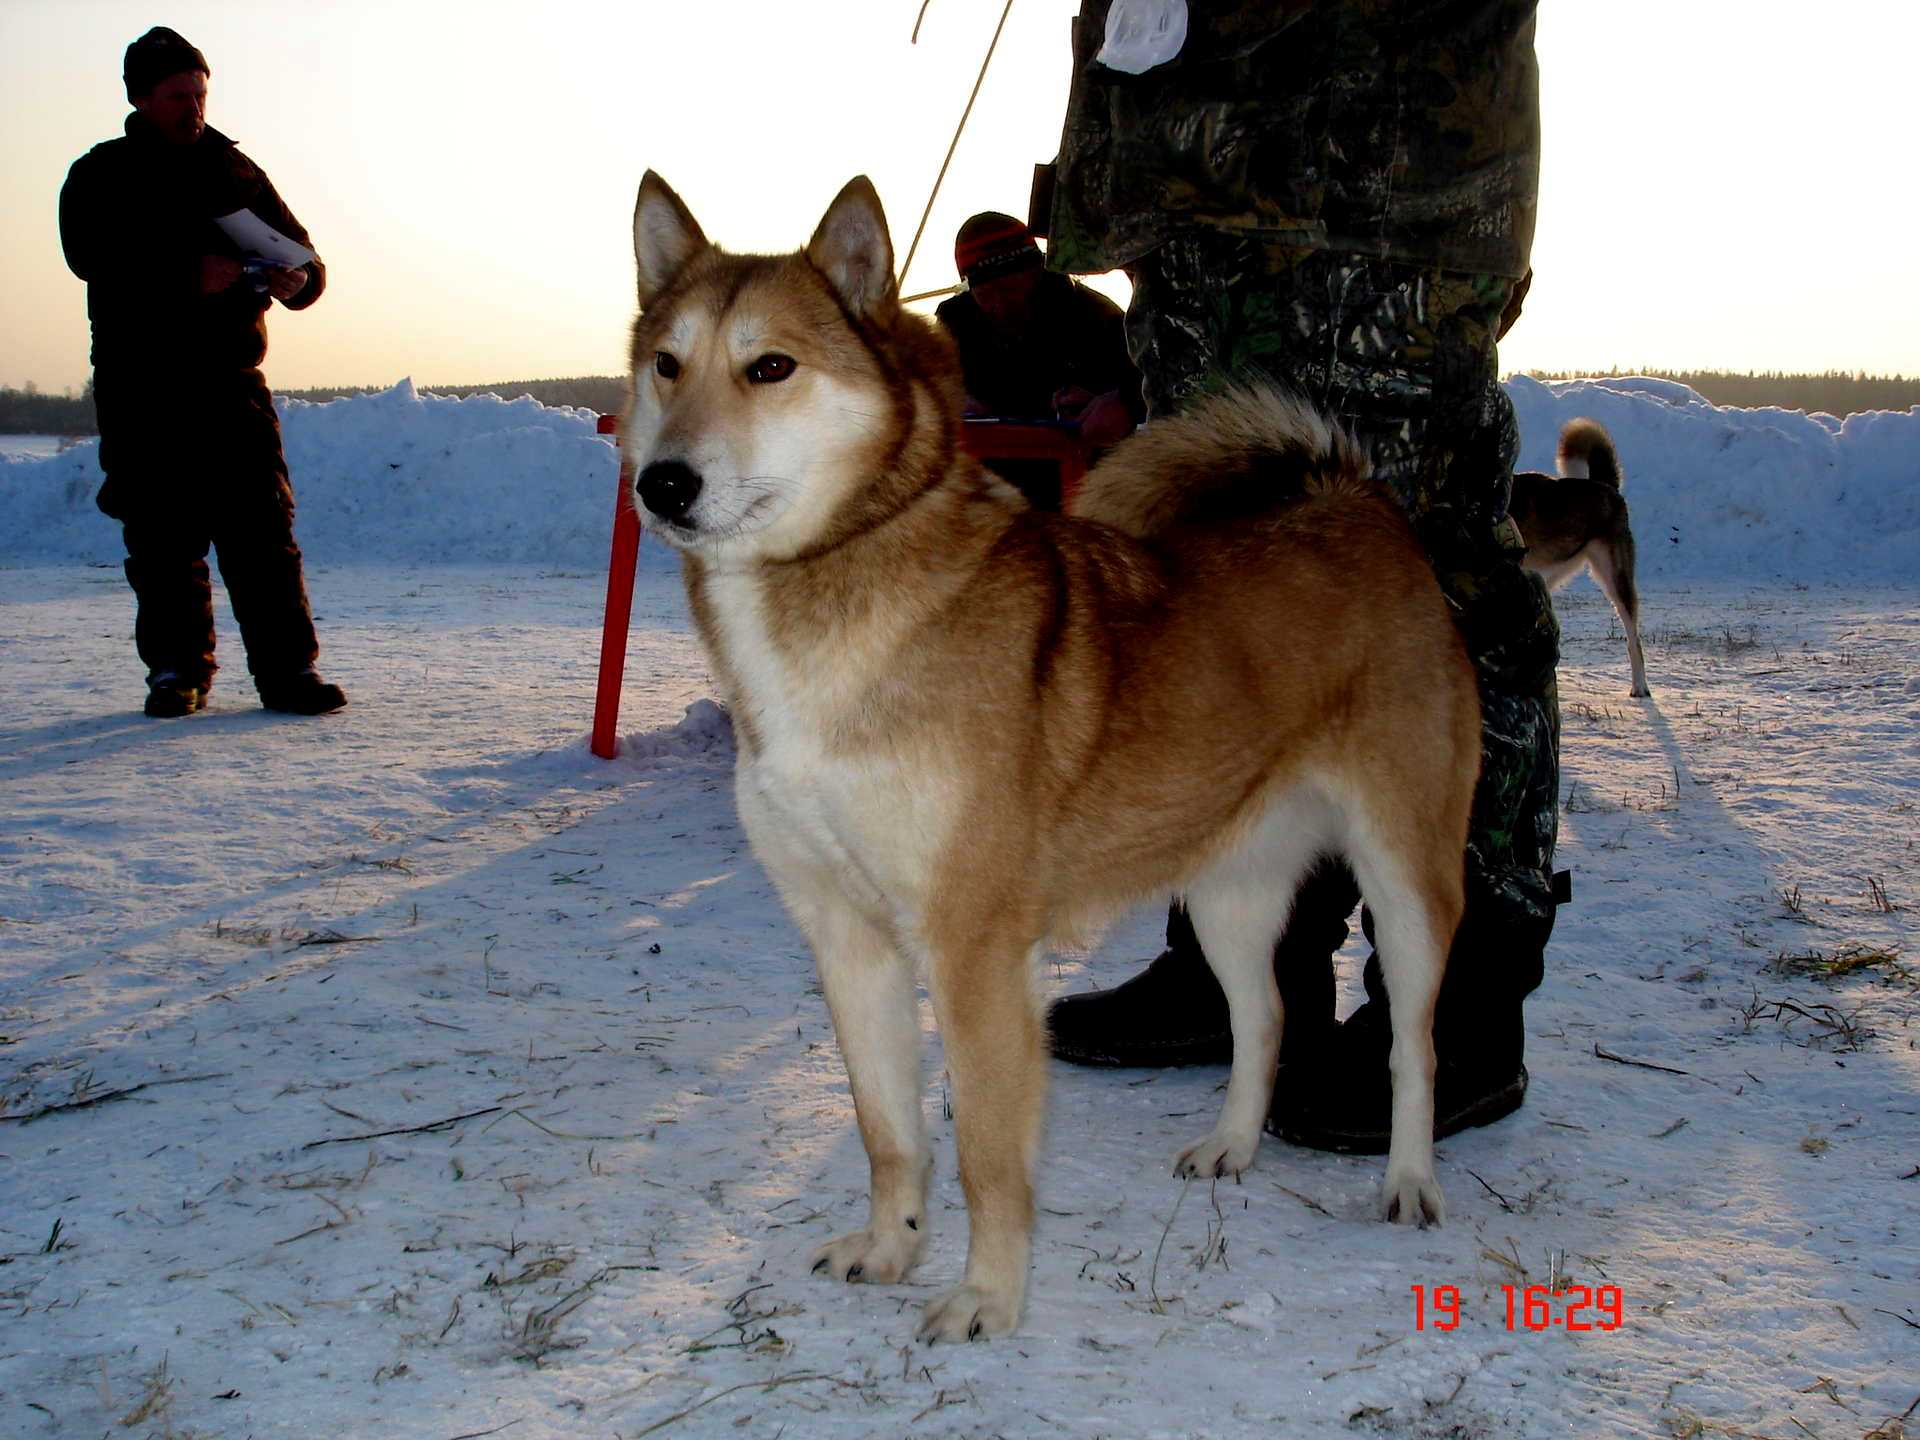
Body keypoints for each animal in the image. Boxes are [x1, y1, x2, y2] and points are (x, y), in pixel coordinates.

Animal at [622, 174, 1474, 1351]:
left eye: (771, 368)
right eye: (668, 363)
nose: (662, 483)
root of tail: (1358, 499)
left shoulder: (974, 951)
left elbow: (986, 1156)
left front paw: (987, 1297)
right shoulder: (846, 940)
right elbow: (889, 1131)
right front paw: (891, 1249)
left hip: (1405, 881)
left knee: (1413, 1045)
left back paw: (1409, 1180)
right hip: (1227, 893)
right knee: (1263, 1017)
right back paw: (1232, 1146)